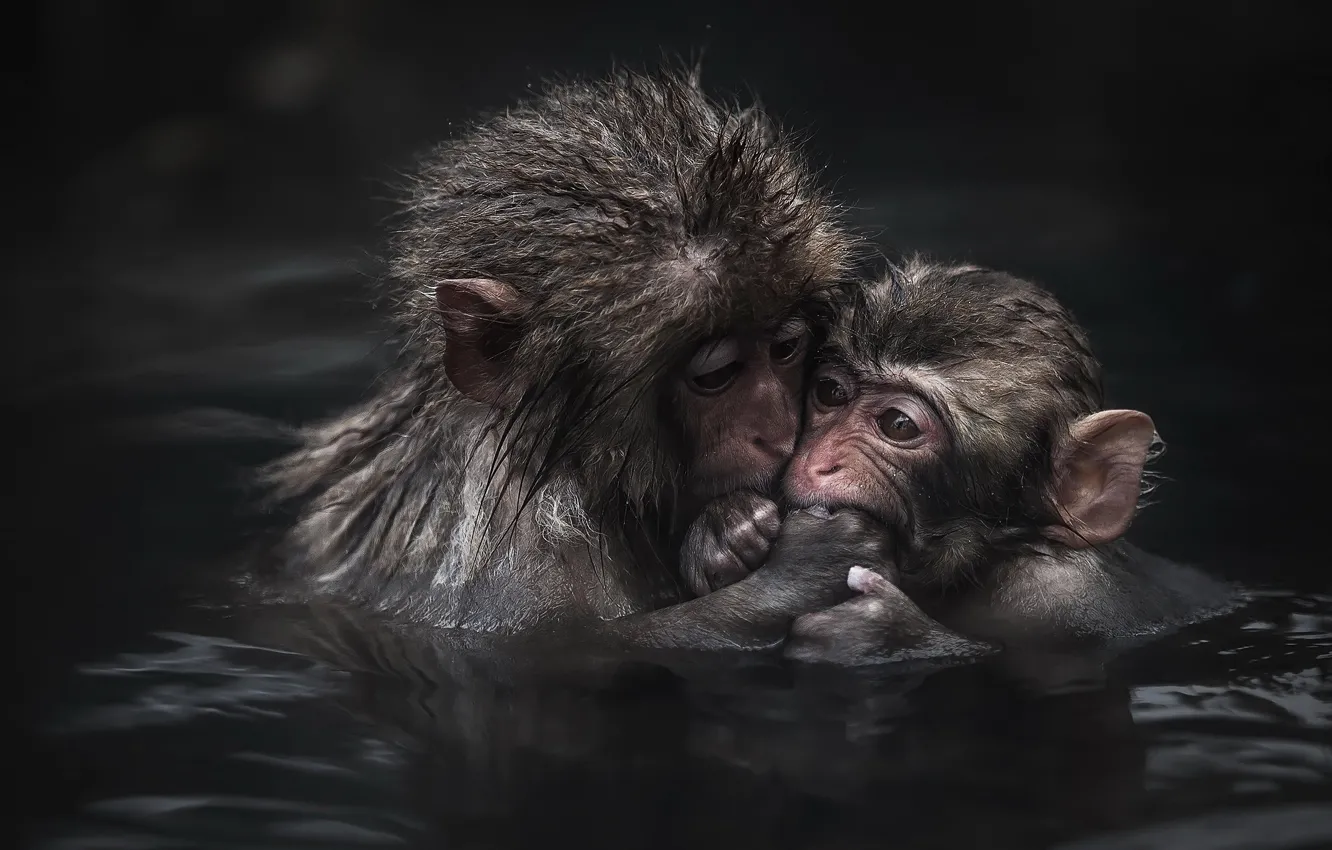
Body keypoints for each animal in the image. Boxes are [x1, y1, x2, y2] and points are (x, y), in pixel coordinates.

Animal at [689, 257, 1237, 665]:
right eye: (829, 392)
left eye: (899, 424)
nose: (821, 461)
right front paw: (728, 529)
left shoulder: (1057, 596)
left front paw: (880, 631)